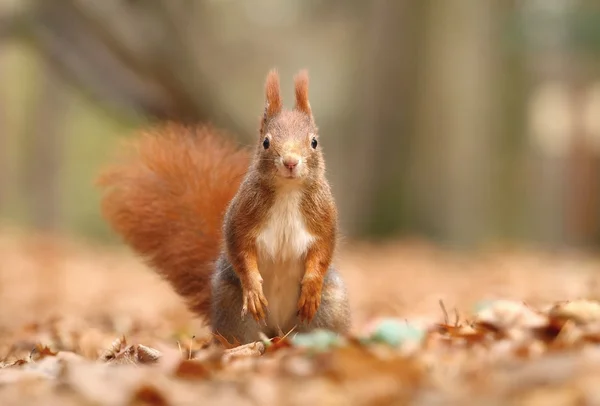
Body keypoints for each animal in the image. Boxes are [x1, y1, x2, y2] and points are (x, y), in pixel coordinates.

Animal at [98, 69, 352, 342]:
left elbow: (323, 251)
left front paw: (311, 287)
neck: (288, 192)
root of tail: (276, 332)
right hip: (232, 306)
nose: (291, 162)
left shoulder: (324, 217)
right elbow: (240, 249)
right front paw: (253, 289)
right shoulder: (242, 216)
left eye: (314, 142)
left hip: (329, 307)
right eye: (265, 142)